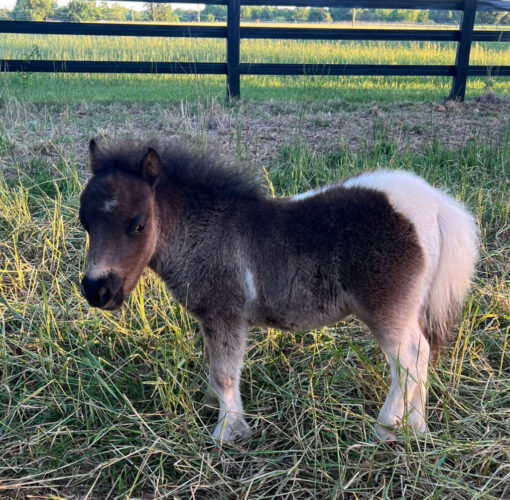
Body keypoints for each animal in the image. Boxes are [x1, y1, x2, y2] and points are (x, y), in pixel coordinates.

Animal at [79, 139, 478, 440]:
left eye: (139, 225)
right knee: (421, 356)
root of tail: (435, 206)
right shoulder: (214, 319)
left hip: (387, 310)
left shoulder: (224, 313)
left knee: (408, 359)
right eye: (84, 221)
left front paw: (227, 433)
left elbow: (225, 372)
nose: (97, 291)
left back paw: (388, 428)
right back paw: (416, 426)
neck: (206, 231)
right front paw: (213, 408)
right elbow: (216, 370)